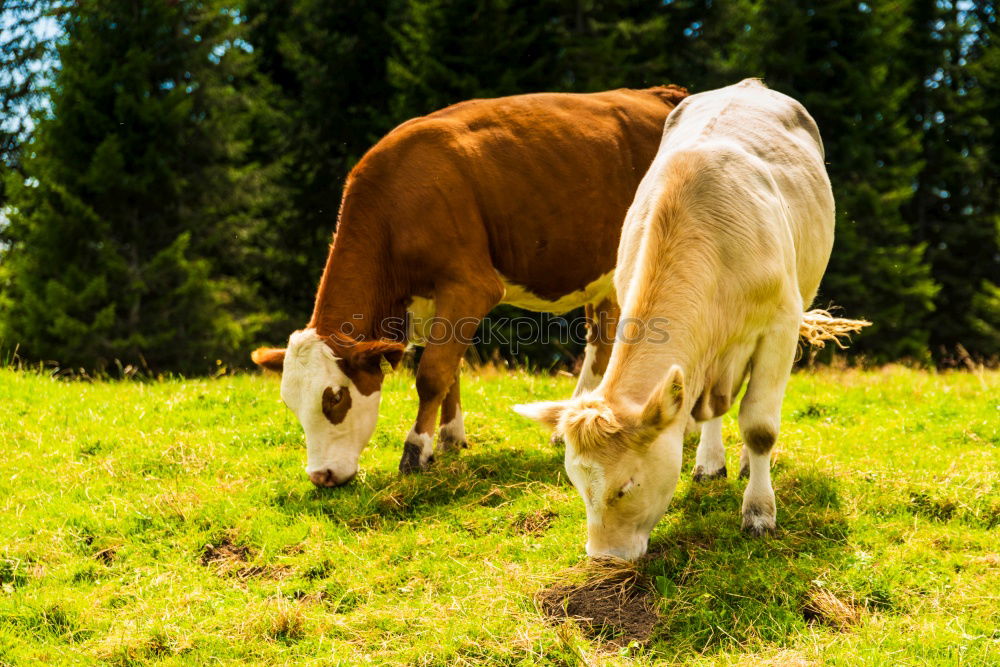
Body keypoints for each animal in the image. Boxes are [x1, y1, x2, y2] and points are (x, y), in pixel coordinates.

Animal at [252, 86, 688, 488]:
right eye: (290, 403)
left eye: (335, 398)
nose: (320, 476)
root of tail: (658, 93)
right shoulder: (434, 301)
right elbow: (450, 369)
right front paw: (449, 439)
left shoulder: (471, 285)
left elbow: (432, 374)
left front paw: (415, 451)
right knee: (602, 341)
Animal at [516, 79, 868, 564]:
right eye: (578, 484)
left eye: (626, 485)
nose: (604, 557)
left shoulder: (779, 327)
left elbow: (760, 426)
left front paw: (759, 512)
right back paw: (710, 461)